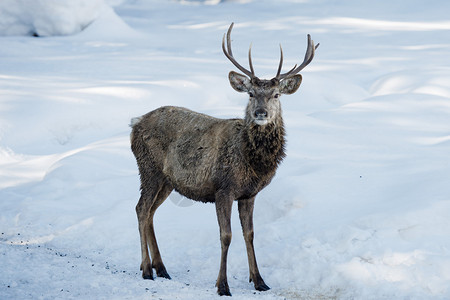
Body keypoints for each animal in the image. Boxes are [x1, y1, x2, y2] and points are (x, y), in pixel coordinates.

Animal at [130, 22, 318, 296]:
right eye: (250, 94)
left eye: (276, 95)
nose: (260, 113)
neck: (251, 163)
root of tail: (134, 124)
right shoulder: (223, 188)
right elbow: (226, 235)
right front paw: (222, 285)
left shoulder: (249, 194)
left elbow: (250, 233)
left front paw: (259, 281)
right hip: (148, 168)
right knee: (141, 209)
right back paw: (146, 269)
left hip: (167, 180)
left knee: (151, 212)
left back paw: (161, 268)